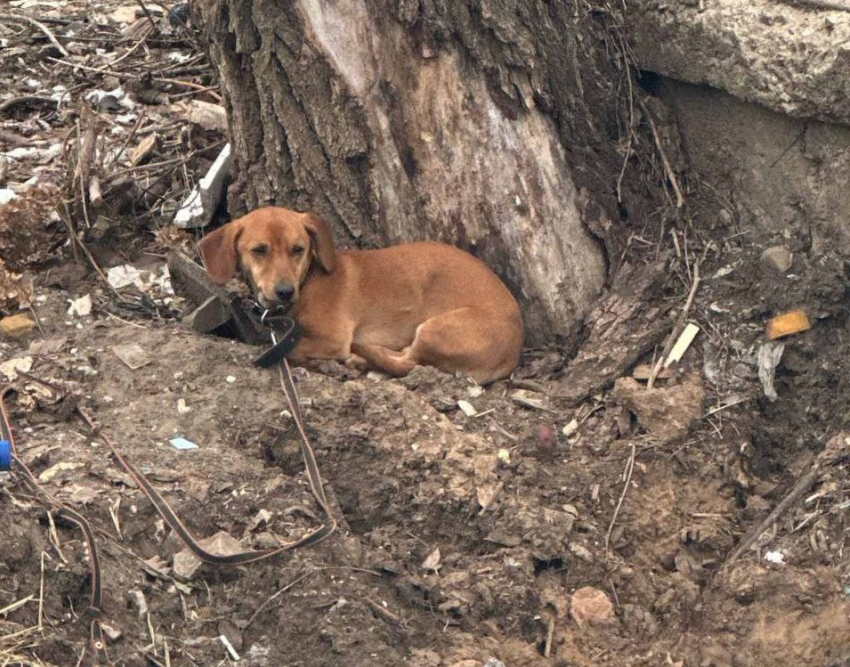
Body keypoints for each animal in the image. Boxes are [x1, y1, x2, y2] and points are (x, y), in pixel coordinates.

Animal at [199, 209, 524, 386]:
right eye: (259, 250)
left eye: (298, 249)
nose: (285, 291)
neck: (309, 280)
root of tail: (514, 350)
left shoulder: (332, 338)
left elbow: (290, 349)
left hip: (434, 329)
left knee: (410, 361)